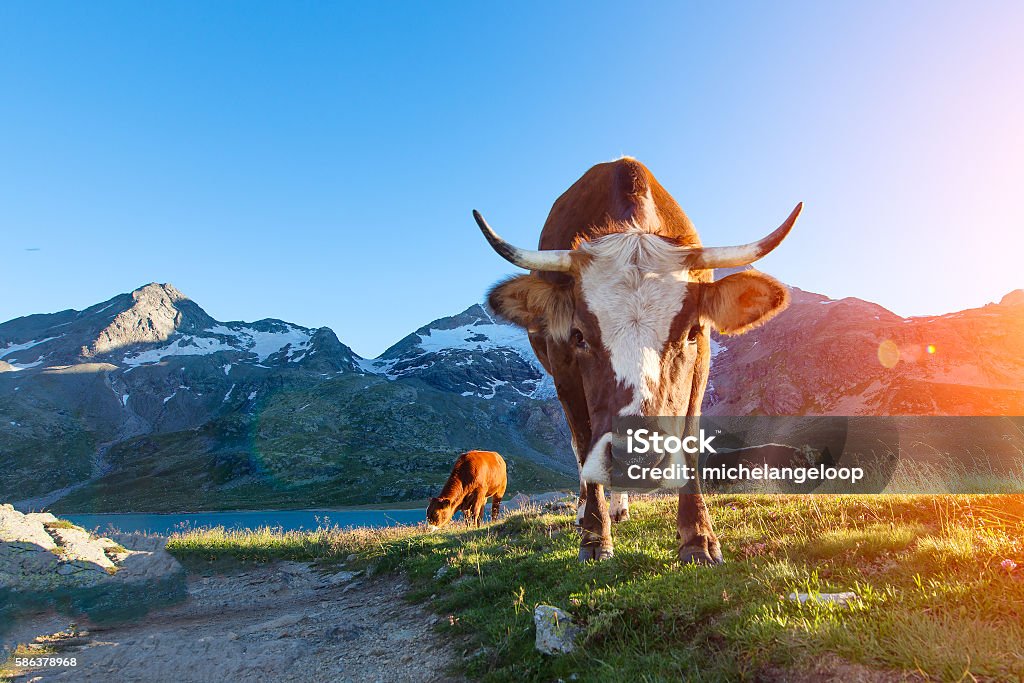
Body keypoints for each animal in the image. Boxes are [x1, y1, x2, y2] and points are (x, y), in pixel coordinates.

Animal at [471, 157, 798, 565]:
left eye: (691, 333)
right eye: (579, 336)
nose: (637, 460)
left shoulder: (703, 360)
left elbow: (690, 439)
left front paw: (698, 538)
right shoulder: (562, 368)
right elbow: (584, 441)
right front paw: (595, 537)